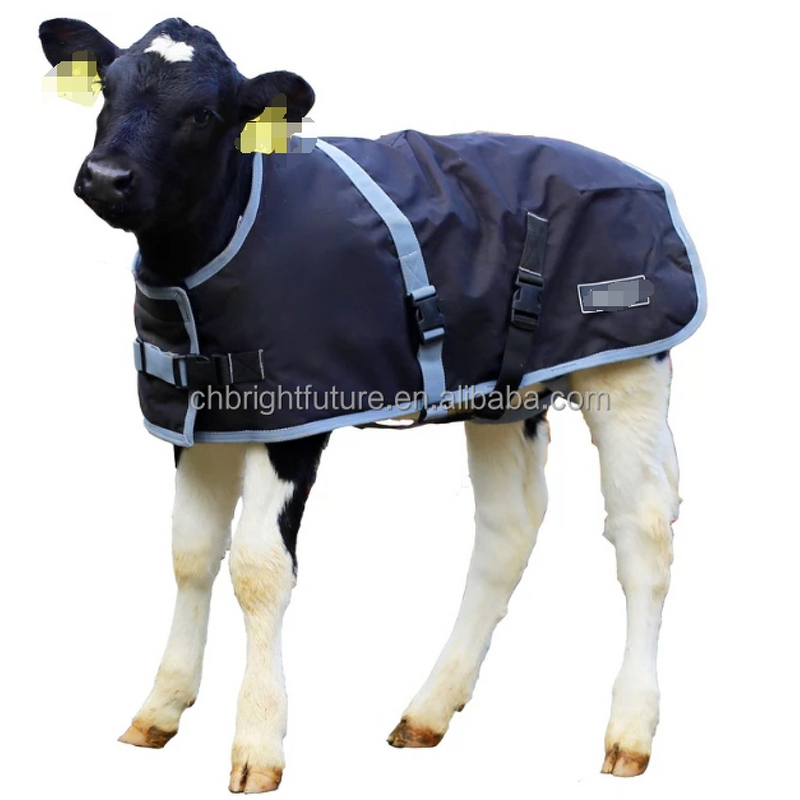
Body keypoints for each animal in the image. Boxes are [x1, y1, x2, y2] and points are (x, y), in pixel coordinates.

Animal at [39, 16, 703, 793]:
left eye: (203, 113)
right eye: (107, 88)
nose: (106, 177)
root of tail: (635, 173)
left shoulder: (294, 420)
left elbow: (258, 569)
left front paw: (257, 744)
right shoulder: (195, 421)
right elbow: (190, 553)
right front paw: (160, 708)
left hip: (626, 369)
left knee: (643, 530)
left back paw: (629, 730)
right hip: (503, 394)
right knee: (508, 526)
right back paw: (429, 710)